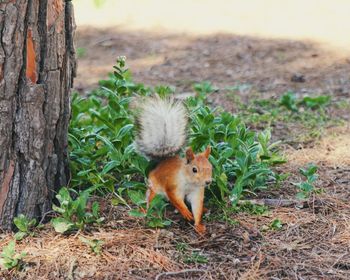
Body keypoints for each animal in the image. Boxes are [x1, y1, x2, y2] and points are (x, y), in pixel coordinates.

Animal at [133, 94, 211, 234]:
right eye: (194, 169)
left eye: (211, 167)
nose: (208, 182)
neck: (189, 181)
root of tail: (163, 162)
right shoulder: (172, 186)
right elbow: (175, 199)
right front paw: (185, 212)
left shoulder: (197, 192)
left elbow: (197, 207)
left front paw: (198, 225)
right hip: (154, 188)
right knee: (150, 199)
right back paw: (147, 210)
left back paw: (205, 209)